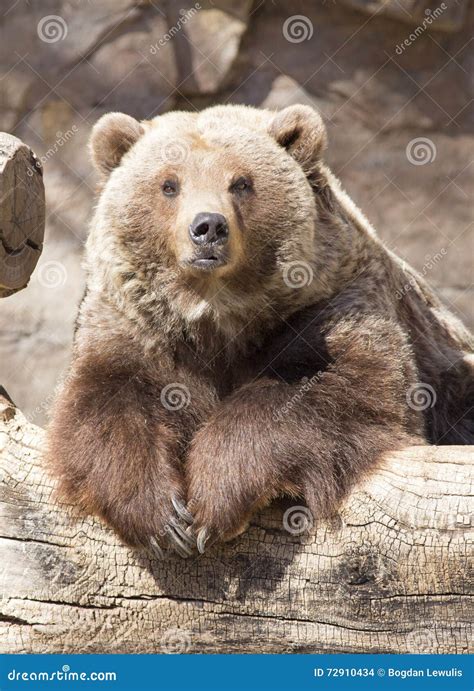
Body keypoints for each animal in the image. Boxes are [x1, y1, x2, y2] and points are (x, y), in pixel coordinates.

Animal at [47, 104, 474, 559]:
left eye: (241, 182)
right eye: (169, 184)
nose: (208, 227)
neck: (217, 317)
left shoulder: (330, 307)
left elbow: (346, 387)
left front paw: (212, 501)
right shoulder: (133, 326)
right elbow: (105, 402)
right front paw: (163, 519)